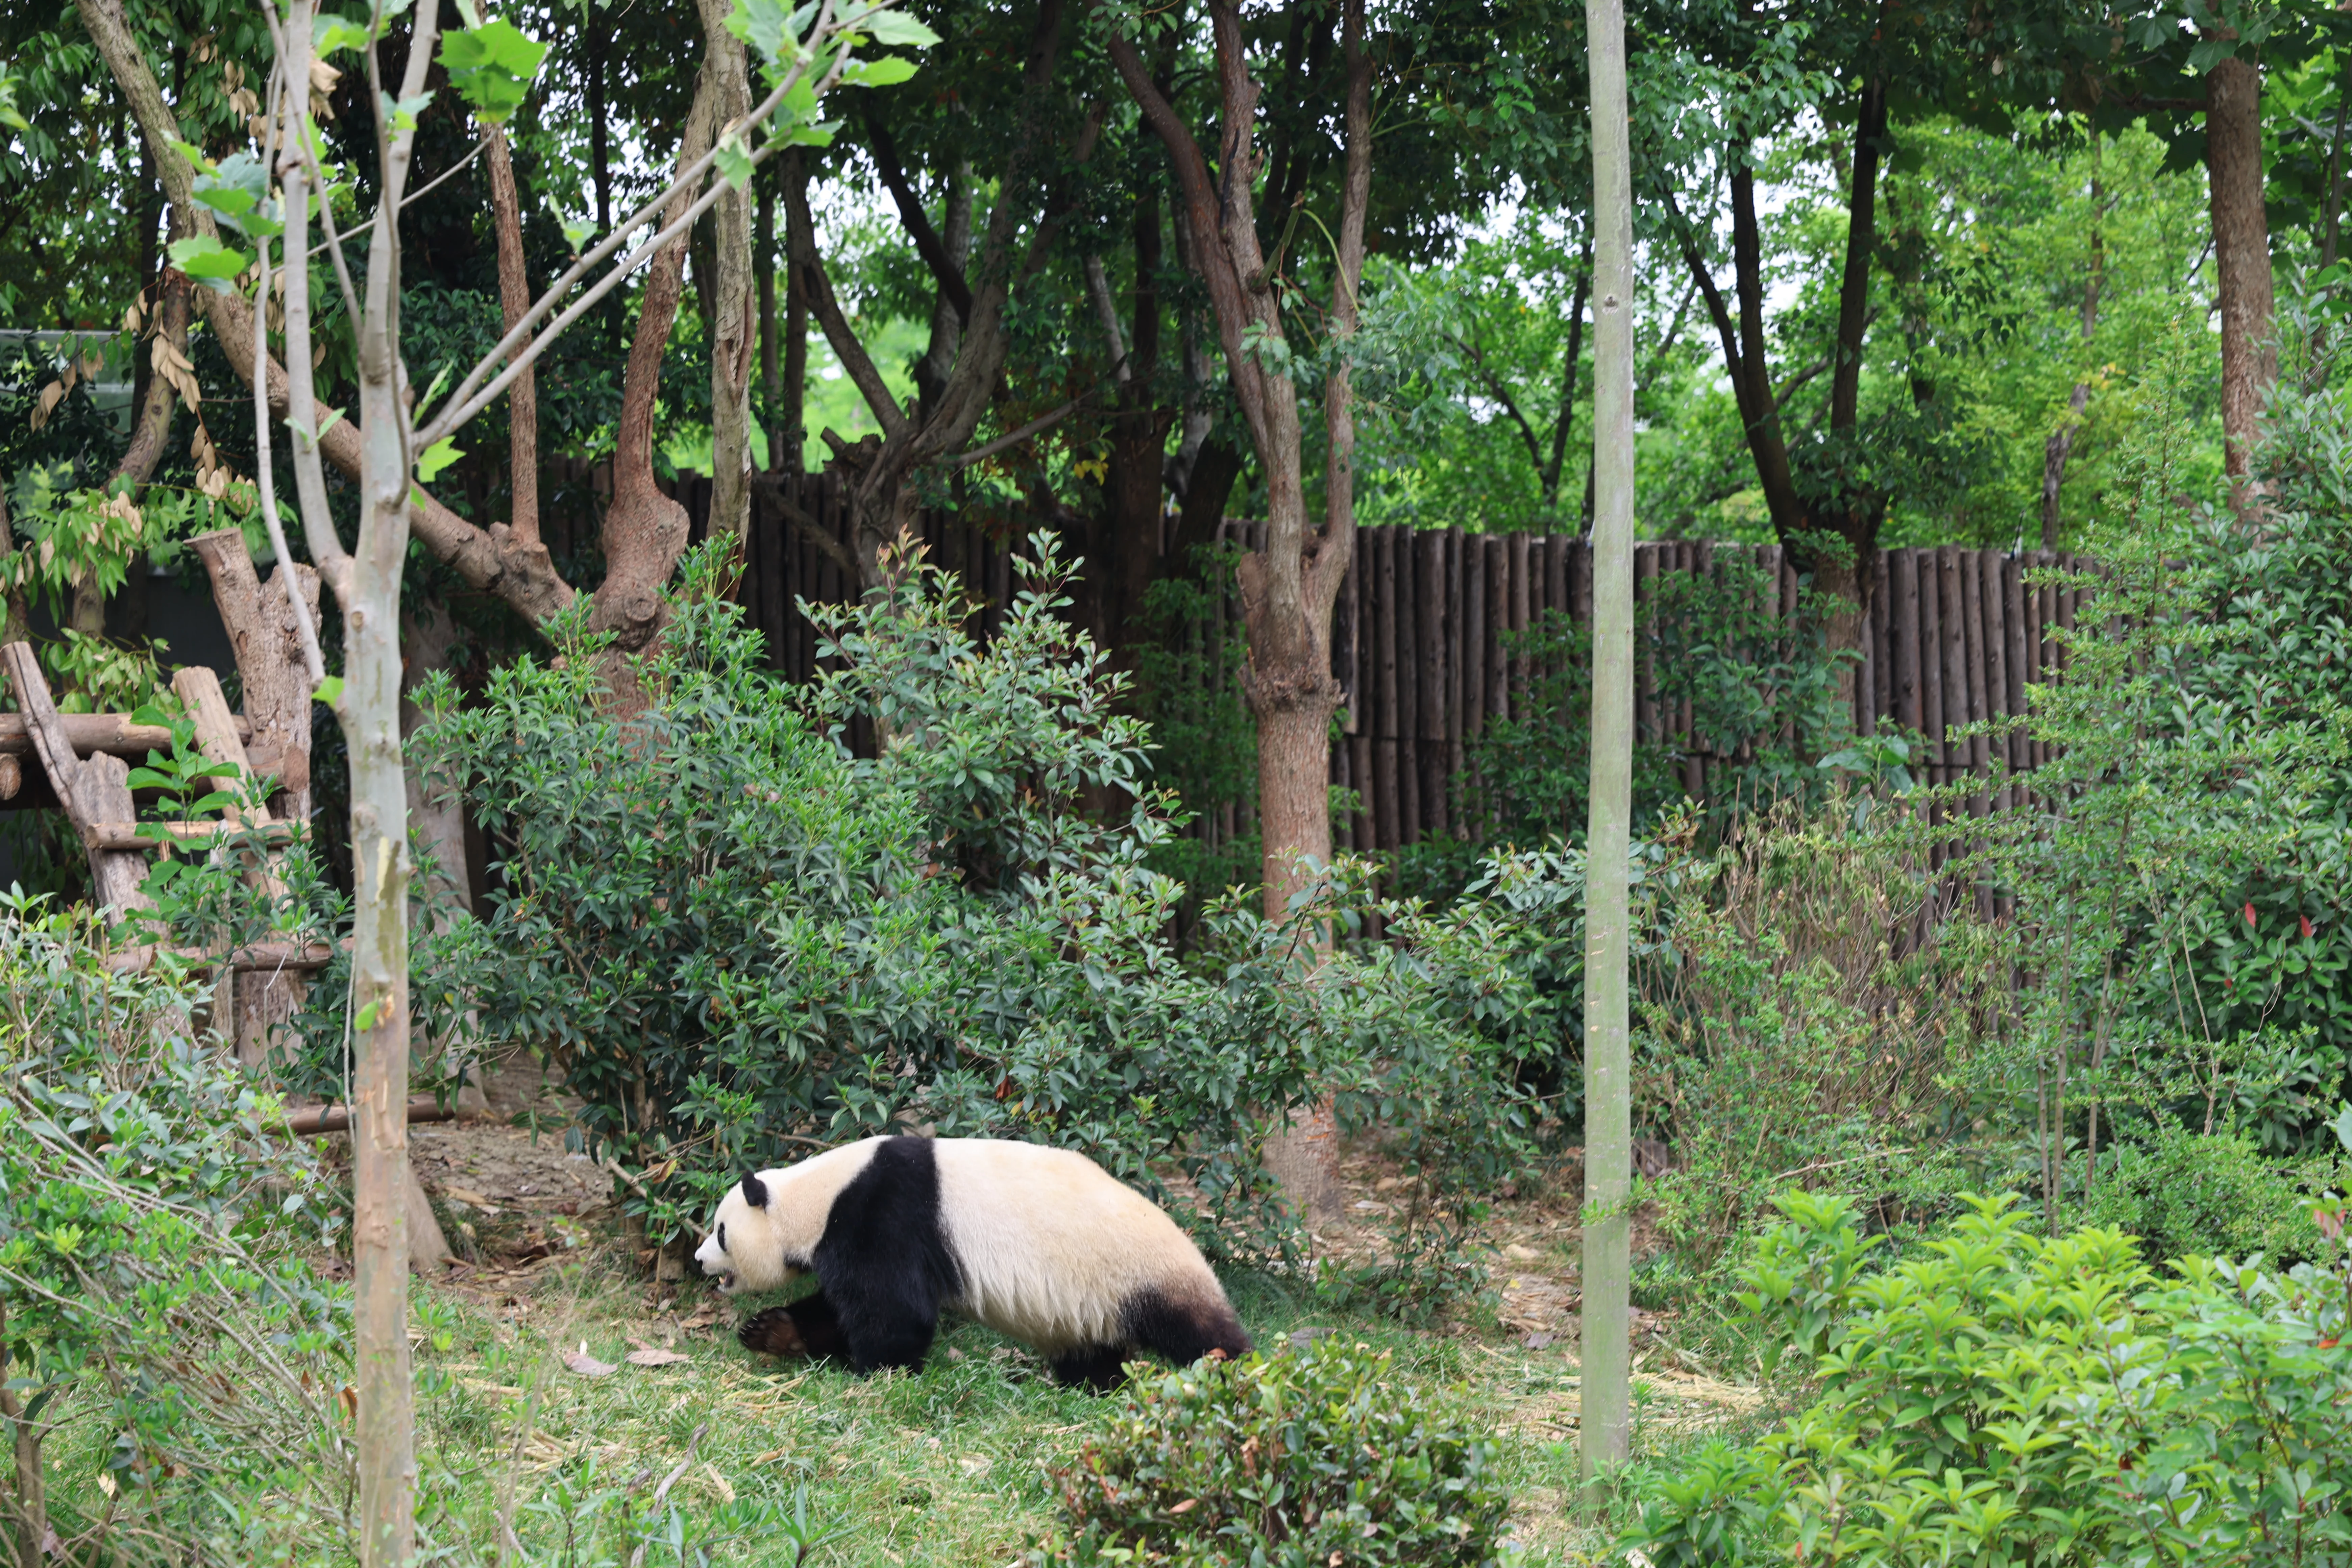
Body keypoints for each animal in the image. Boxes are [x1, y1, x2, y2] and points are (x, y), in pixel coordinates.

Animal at [693, 1135, 1252, 1390]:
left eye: (721, 1231)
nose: (699, 1260)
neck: (818, 1195)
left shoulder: (883, 1215)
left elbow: (892, 1308)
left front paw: (880, 1371)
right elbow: (838, 1308)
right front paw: (769, 1332)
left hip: (1138, 1272)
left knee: (1200, 1331)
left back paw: (1237, 1374)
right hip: (1093, 1306)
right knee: (1093, 1351)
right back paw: (1095, 1386)